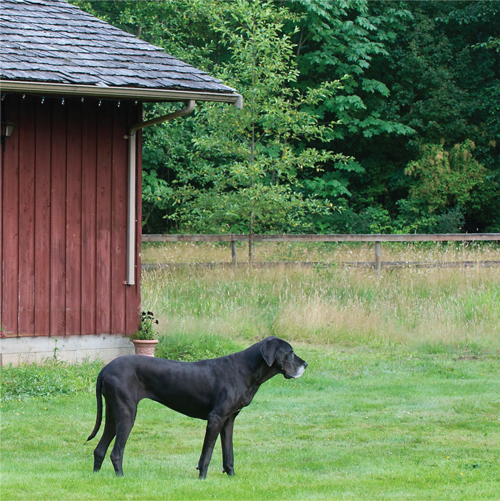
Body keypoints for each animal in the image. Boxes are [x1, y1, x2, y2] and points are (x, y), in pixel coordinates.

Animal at [88, 336, 306, 476]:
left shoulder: (229, 420)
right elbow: (207, 454)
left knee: (100, 449)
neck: (246, 370)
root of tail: (106, 368)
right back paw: (121, 478)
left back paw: (97, 476)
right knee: (116, 453)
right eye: (290, 352)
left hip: (113, 414)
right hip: (127, 414)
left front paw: (232, 477)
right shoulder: (216, 418)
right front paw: (202, 477)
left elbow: (229, 455)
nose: (306, 364)